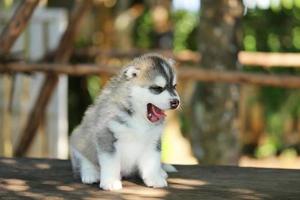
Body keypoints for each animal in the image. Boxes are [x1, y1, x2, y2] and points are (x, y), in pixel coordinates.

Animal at [69, 53, 179, 191]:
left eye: (174, 86)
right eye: (157, 88)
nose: (176, 102)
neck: (138, 118)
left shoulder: (153, 140)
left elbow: (152, 161)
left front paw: (154, 178)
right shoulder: (107, 135)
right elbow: (111, 163)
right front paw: (110, 182)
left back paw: (161, 172)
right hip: (79, 139)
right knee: (84, 160)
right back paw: (90, 173)